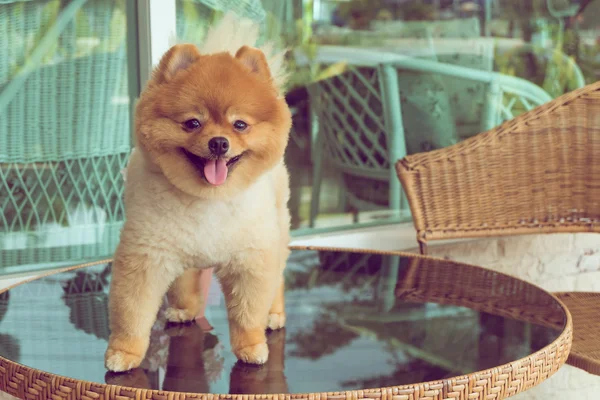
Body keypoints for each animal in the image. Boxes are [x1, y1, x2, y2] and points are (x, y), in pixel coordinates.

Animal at [105, 14, 292, 372]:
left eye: (240, 125)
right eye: (192, 123)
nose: (218, 142)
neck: (208, 200)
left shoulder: (251, 258)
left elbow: (249, 310)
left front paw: (251, 346)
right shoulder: (146, 256)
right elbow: (133, 311)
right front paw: (124, 352)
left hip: (277, 228)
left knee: (276, 278)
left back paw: (274, 314)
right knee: (186, 280)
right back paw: (184, 309)